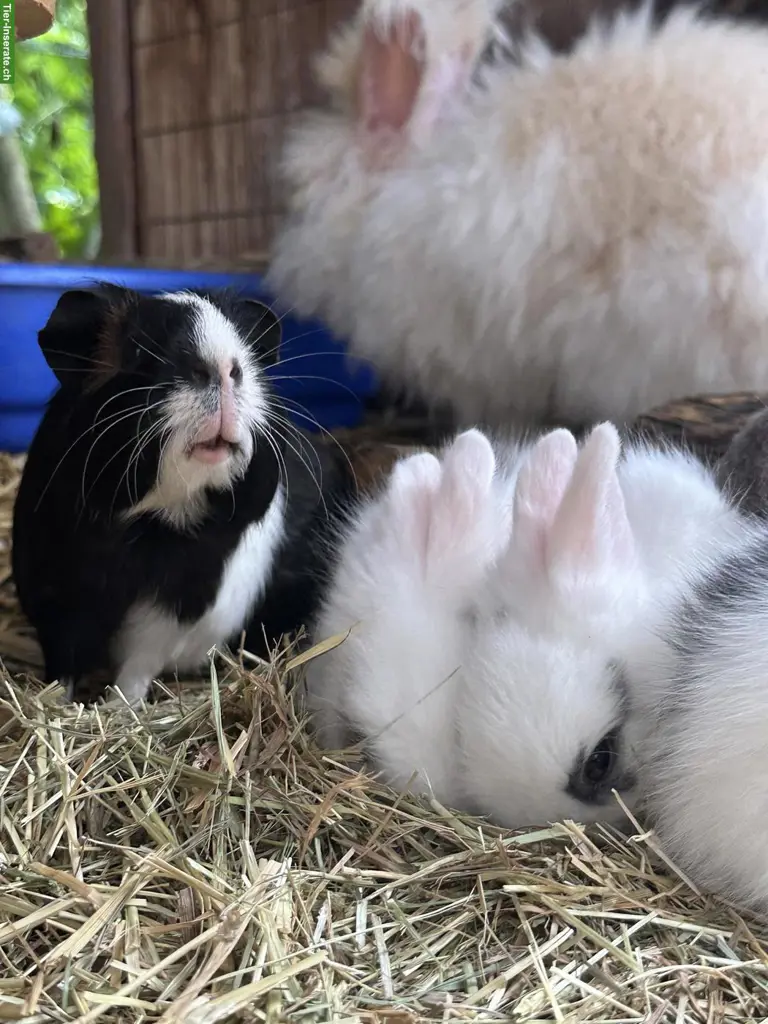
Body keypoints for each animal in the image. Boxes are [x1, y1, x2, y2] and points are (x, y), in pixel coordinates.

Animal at [12, 284, 353, 705]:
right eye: (139, 347)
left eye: (245, 350)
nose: (223, 367)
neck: (150, 521)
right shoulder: (59, 595)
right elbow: (65, 666)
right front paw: (60, 703)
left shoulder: (177, 606)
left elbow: (137, 666)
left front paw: (118, 707)